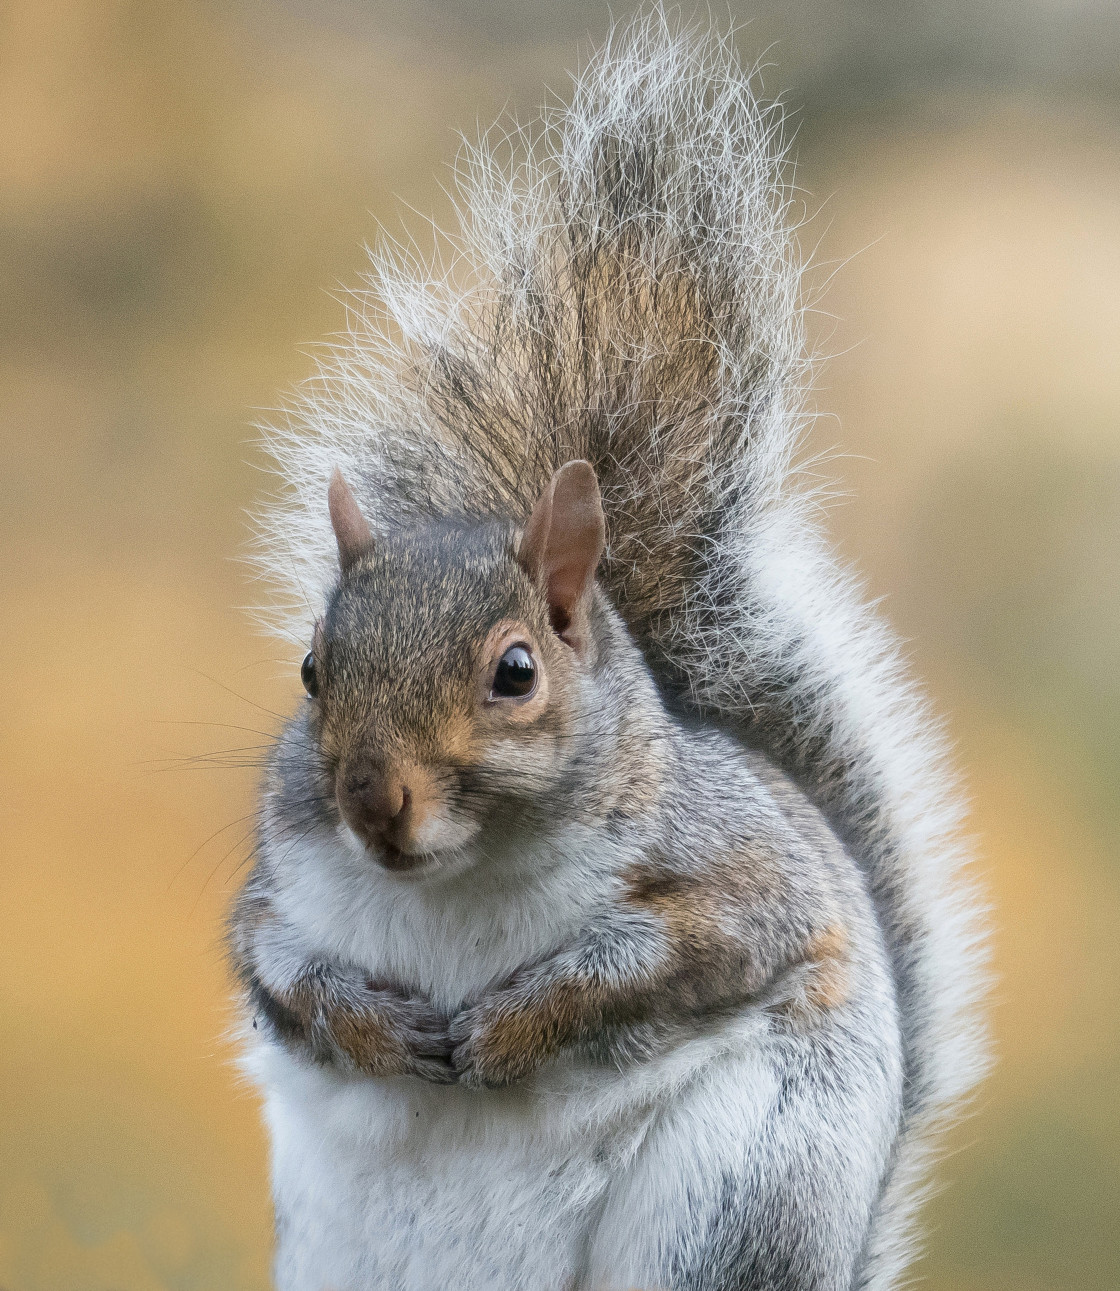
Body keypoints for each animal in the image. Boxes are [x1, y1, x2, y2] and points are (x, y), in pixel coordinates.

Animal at [229, 12, 990, 1291]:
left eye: (515, 671)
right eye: (310, 670)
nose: (372, 800)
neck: (455, 878)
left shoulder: (737, 879)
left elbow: (661, 960)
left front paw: (507, 1027)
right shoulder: (280, 883)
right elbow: (276, 971)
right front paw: (377, 1026)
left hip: (729, 1201)